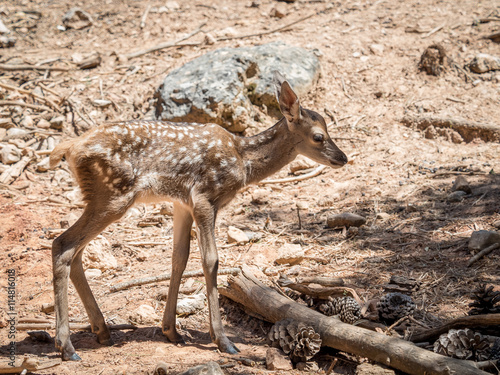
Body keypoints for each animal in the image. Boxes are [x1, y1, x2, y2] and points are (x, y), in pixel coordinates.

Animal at [50, 72, 348, 362]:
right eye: (319, 136)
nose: (343, 158)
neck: (243, 161)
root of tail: (69, 148)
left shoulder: (182, 203)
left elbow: (179, 258)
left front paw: (171, 330)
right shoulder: (206, 198)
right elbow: (210, 260)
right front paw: (223, 340)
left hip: (103, 199)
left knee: (75, 251)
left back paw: (101, 331)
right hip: (112, 195)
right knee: (63, 244)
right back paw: (67, 346)